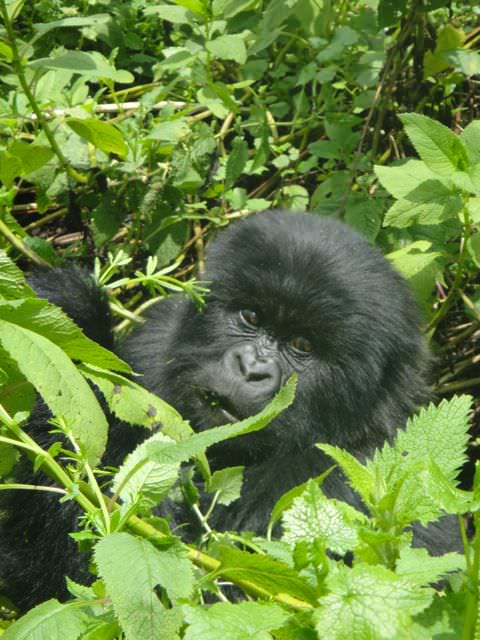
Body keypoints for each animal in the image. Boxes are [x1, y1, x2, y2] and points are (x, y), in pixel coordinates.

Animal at [0, 209, 456, 608]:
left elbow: (188, 588)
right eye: (251, 316)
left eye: (303, 345)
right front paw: (63, 309)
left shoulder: (349, 479)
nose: (251, 369)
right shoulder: (155, 344)